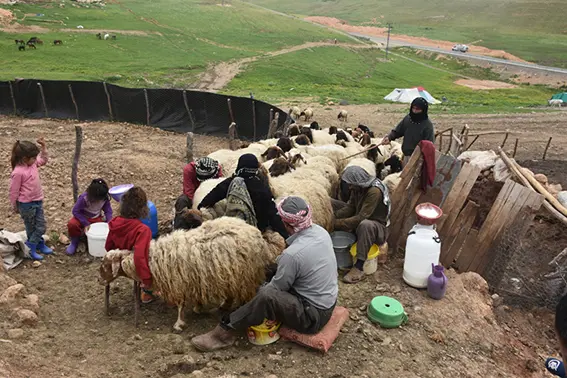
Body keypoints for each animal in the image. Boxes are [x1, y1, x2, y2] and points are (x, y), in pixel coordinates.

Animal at [100, 217, 286, 332]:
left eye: (106, 265)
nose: (100, 279)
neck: (151, 259)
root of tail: (259, 236)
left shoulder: (179, 282)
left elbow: (181, 306)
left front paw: (178, 324)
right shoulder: (193, 280)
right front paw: (197, 308)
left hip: (245, 276)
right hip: (230, 274)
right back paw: (224, 305)